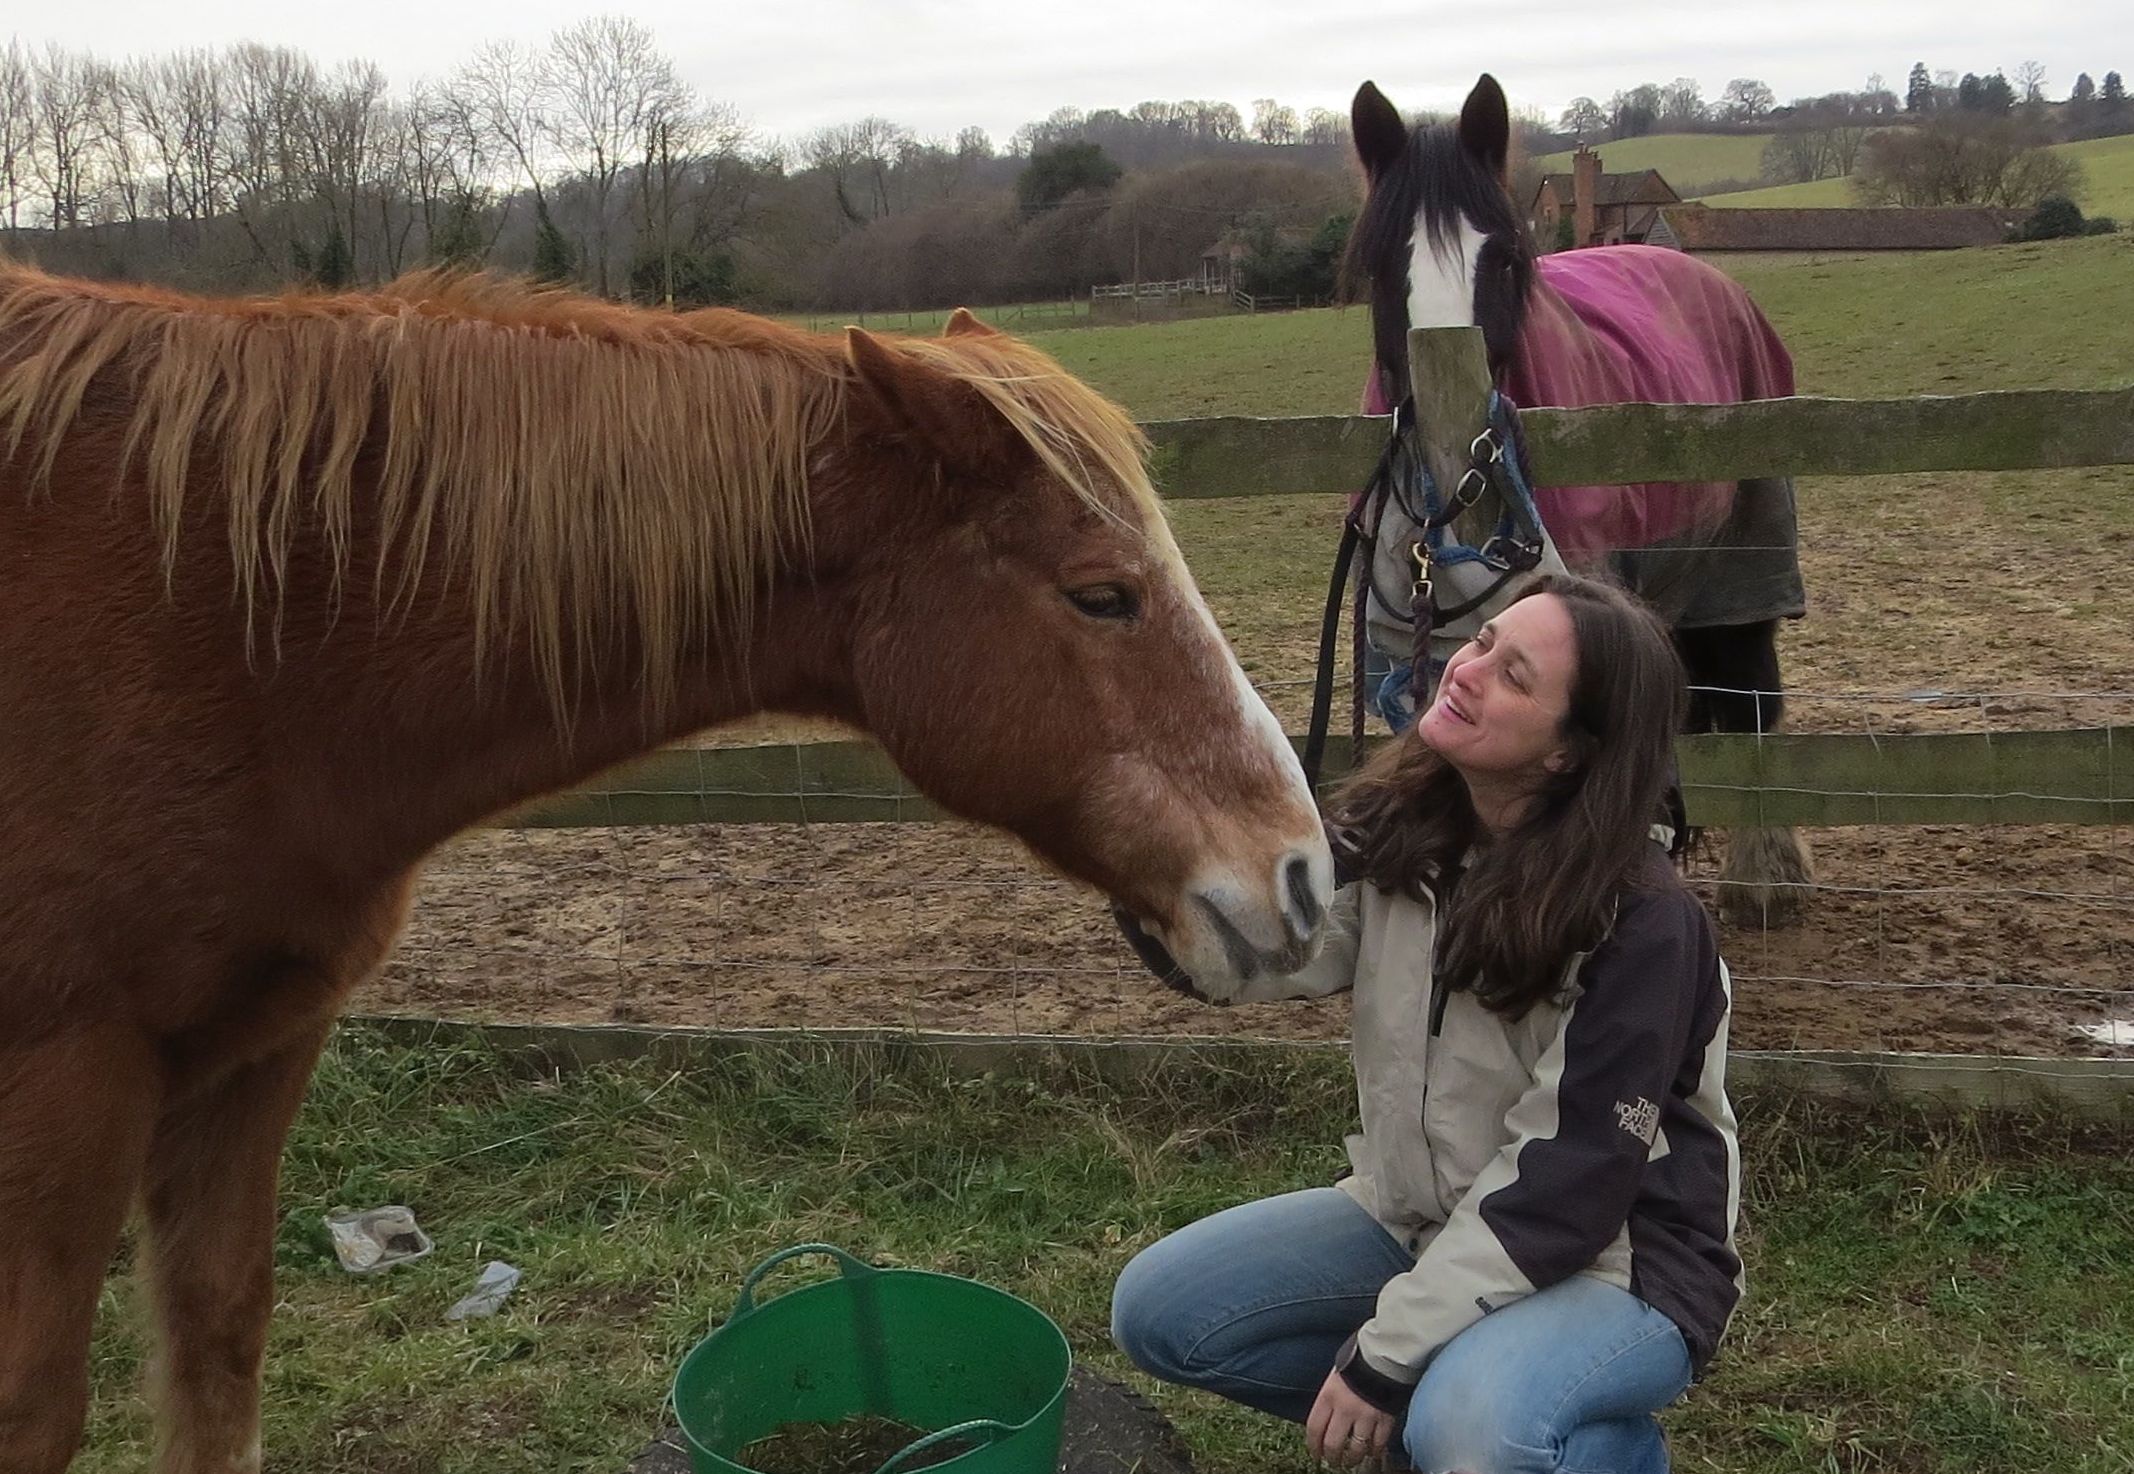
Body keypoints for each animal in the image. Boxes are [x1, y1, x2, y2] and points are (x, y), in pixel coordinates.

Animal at [0, 264, 1333, 1474]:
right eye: (1101, 594)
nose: (1303, 879)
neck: (236, 624)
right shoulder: (70, 1078)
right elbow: (40, 1409)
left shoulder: (260, 1048)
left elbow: (219, 1353)